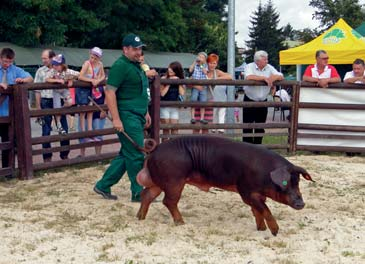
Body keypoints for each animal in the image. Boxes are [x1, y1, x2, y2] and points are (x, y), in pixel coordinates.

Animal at [136, 136, 312, 235]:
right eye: (285, 183)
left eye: (297, 182)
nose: (301, 203)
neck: (265, 173)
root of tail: (155, 149)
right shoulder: (245, 192)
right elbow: (264, 210)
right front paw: (275, 232)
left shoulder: (257, 195)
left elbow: (257, 211)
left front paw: (261, 229)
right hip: (174, 181)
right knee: (168, 201)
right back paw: (181, 223)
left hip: (158, 182)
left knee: (146, 195)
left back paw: (140, 218)